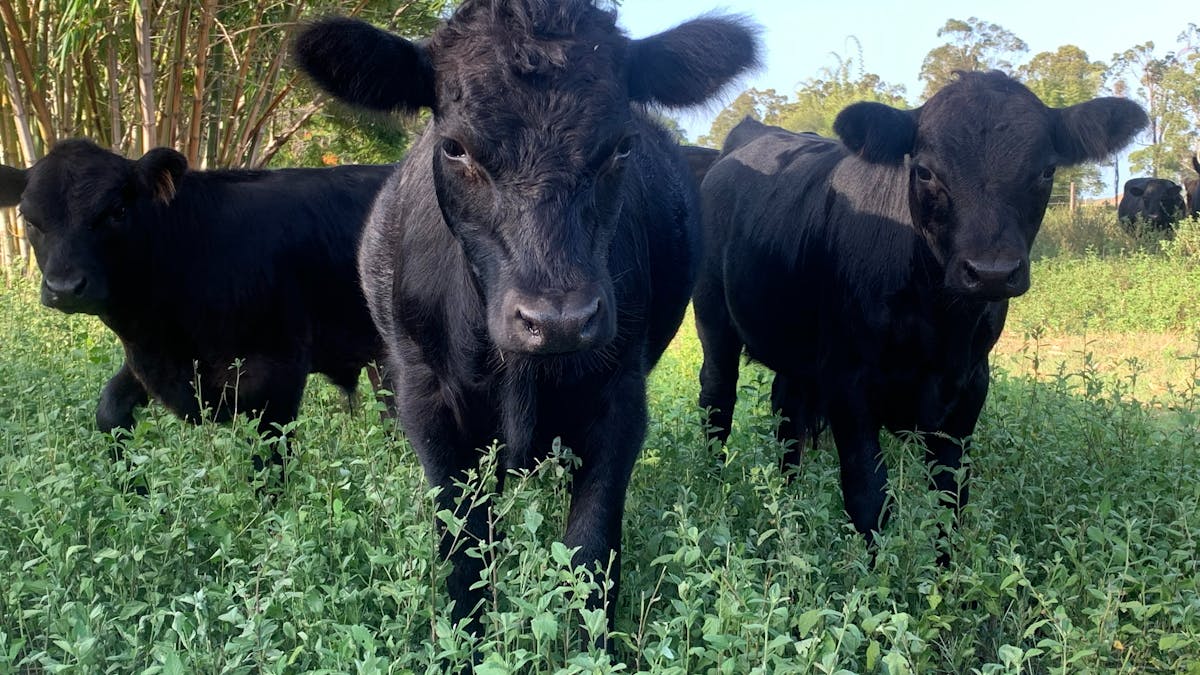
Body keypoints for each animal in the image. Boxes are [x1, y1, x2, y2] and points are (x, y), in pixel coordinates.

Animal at [0, 139, 392, 469]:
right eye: (27, 218)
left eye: (118, 210)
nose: (64, 287)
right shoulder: (152, 356)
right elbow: (110, 410)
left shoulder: (277, 368)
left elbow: (269, 454)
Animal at [292, 0, 759, 634]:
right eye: (454, 147)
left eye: (622, 146)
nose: (558, 320)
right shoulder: (427, 404)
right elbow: (463, 554)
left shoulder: (621, 400)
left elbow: (591, 553)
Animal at [695, 71, 1146, 558]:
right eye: (925, 171)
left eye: (1047, 170)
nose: (991, 271)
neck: (938, 323)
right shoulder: (847, 381)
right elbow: (869, 495)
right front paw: (879, 575)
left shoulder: (970, 384)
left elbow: (951, 495)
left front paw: (947, 571)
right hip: (713, 320)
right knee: (717, 401)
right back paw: (715, 489)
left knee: (787, 412)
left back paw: (790, 501)